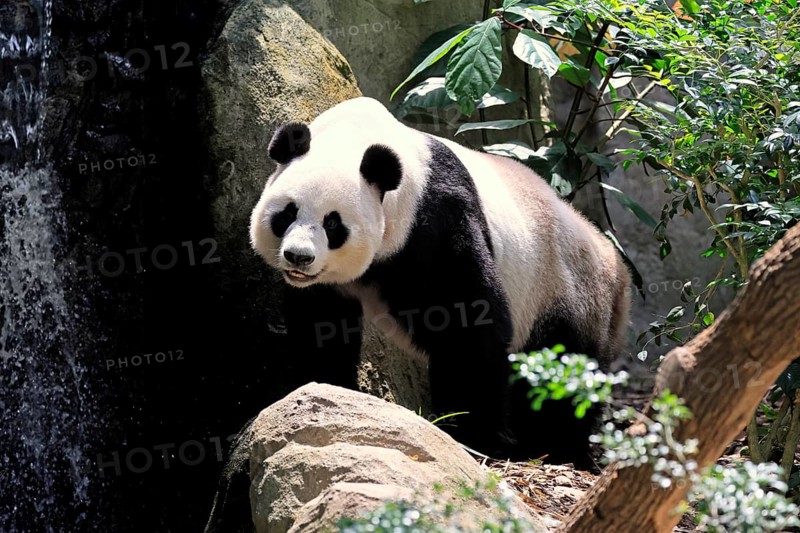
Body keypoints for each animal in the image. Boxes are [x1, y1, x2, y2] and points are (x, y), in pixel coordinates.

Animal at [250, 96, 631, 465]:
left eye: (333, 224)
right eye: (288, 213)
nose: (299, 257)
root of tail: (617, 268)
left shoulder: (435, 221)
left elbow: (467, 324)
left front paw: (474, 436)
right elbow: (322, 325)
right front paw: (322, 389)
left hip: (563, 291)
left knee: (564, 371)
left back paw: (557, 446)